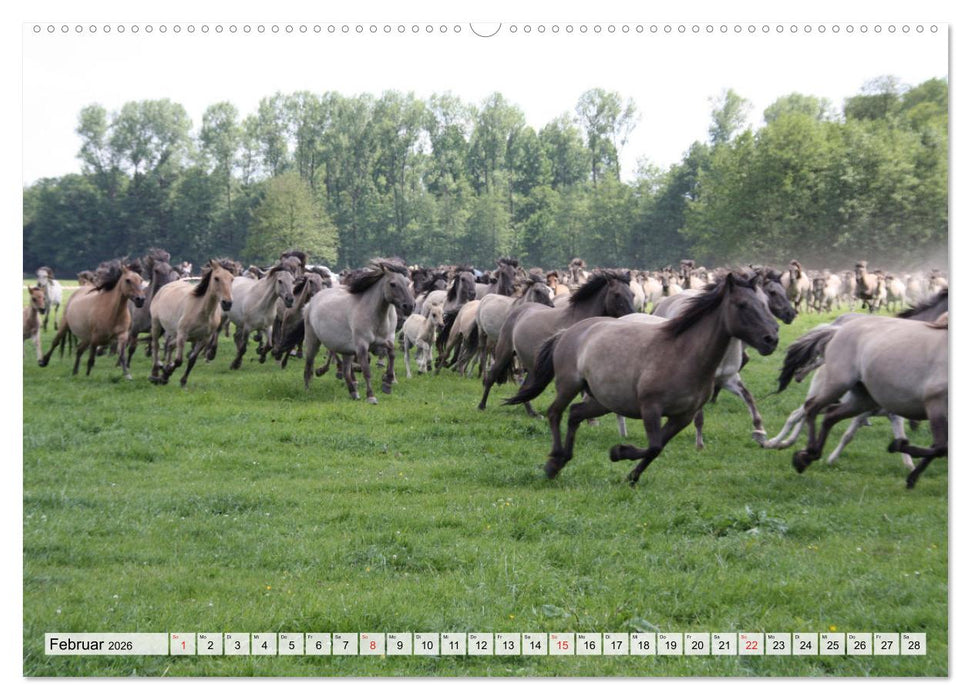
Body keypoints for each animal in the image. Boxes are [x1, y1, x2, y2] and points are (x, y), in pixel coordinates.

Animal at [302, 258, 415, 403]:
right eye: (393, 284)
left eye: (407, 282)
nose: (409, 306)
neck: (375, 315)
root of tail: (310, 303)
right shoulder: (362, 346)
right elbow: (366, 371)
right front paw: (371, 396)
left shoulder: (384, 341)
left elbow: (392, 354)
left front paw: (387, 383)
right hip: (314, 341)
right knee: (309, 363)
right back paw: (308, 388)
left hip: (346, 350)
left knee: (345, 371)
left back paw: (353, 392)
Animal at [478, 269, 636, 416]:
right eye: (617, 294)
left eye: (633, 294)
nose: (632, 314)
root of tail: (517, 310)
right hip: (504, 352)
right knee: (491, 376)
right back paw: (482, 406)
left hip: (533, 366)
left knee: (524, 388)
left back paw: (532, 413)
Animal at [504, 272, 779, 486]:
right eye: (742, 305)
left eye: (764, 303)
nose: (771, 339)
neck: (683, 354)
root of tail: (567, 331)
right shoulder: (651, 407)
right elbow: (654, 445)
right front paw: (618, 452)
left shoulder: (683, 416)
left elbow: (658, 448)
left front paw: (631, 476)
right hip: (568, 384)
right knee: (555, 413)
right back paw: (553, 461)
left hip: (603, 400)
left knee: (575, 414)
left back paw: (563, 460)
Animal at [765, 288, 949, 471]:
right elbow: (848, 435)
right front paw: (829, 458)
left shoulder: (891, 414)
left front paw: (910, 464)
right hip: (830, 392)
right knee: (801, 413)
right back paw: (778, 443)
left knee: (809, 414)